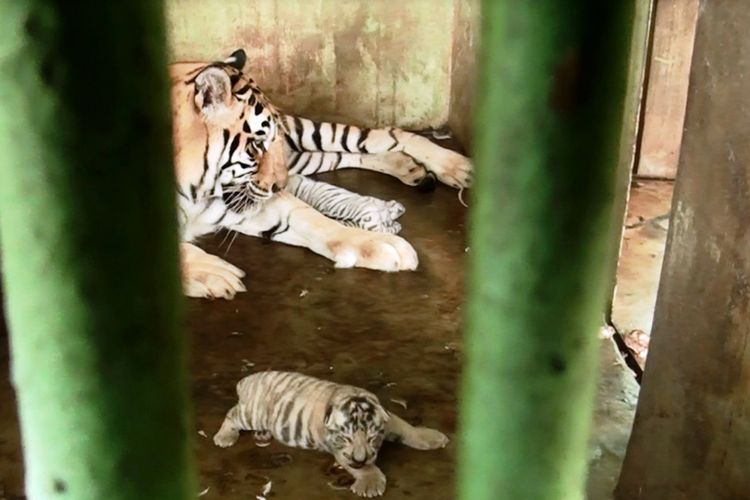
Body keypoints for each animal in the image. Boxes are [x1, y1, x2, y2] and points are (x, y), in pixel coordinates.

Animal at [173, 48, 472, 298]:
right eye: (257, 144)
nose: (280, 187)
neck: (197, 189)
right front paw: (214, 272)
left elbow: (316, 221)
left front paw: (384, 245)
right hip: (300, 158)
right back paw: (408, 167)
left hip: (301, 134)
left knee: (385, 135)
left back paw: (457, 167)